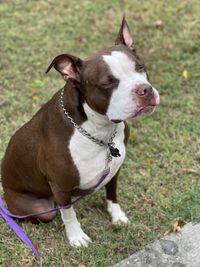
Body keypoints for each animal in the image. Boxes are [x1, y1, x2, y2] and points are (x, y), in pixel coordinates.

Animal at [0, 17, 159, 248]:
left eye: (140, 67)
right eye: (108, 83)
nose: (144, 90)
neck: (99, 129)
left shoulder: (115, 169)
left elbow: (112, 193)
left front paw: (117, 216)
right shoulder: (60, 186)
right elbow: (68, 214)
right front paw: (76, 237)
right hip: (38, 208)